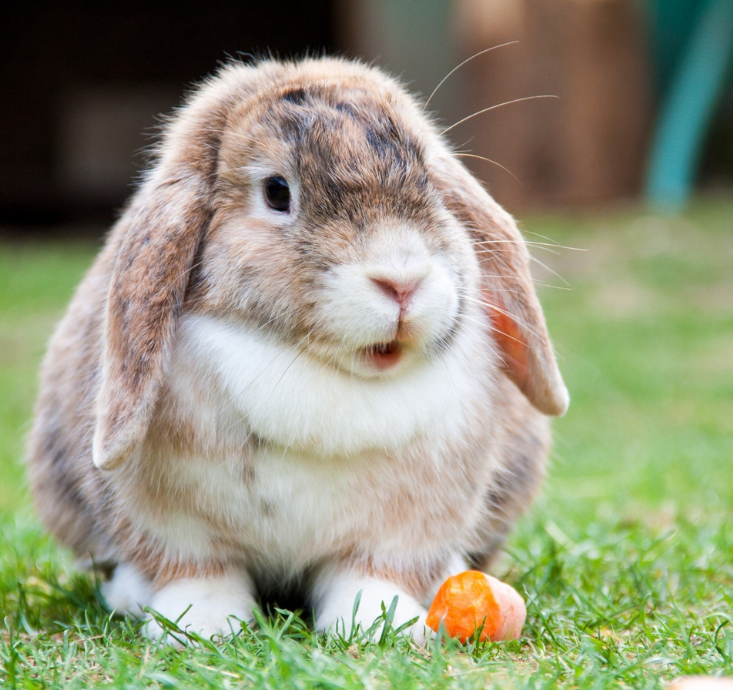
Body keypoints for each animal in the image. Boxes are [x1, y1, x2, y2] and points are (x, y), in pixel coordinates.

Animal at [27, 57, 568, 643]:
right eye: (277, 192)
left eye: (428, 178)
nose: (402, 281)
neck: (319, 370)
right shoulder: (174, 527)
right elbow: (199, 573)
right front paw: (200, 627)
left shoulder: (403, 530)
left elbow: (372, 575)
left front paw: (380, 626)